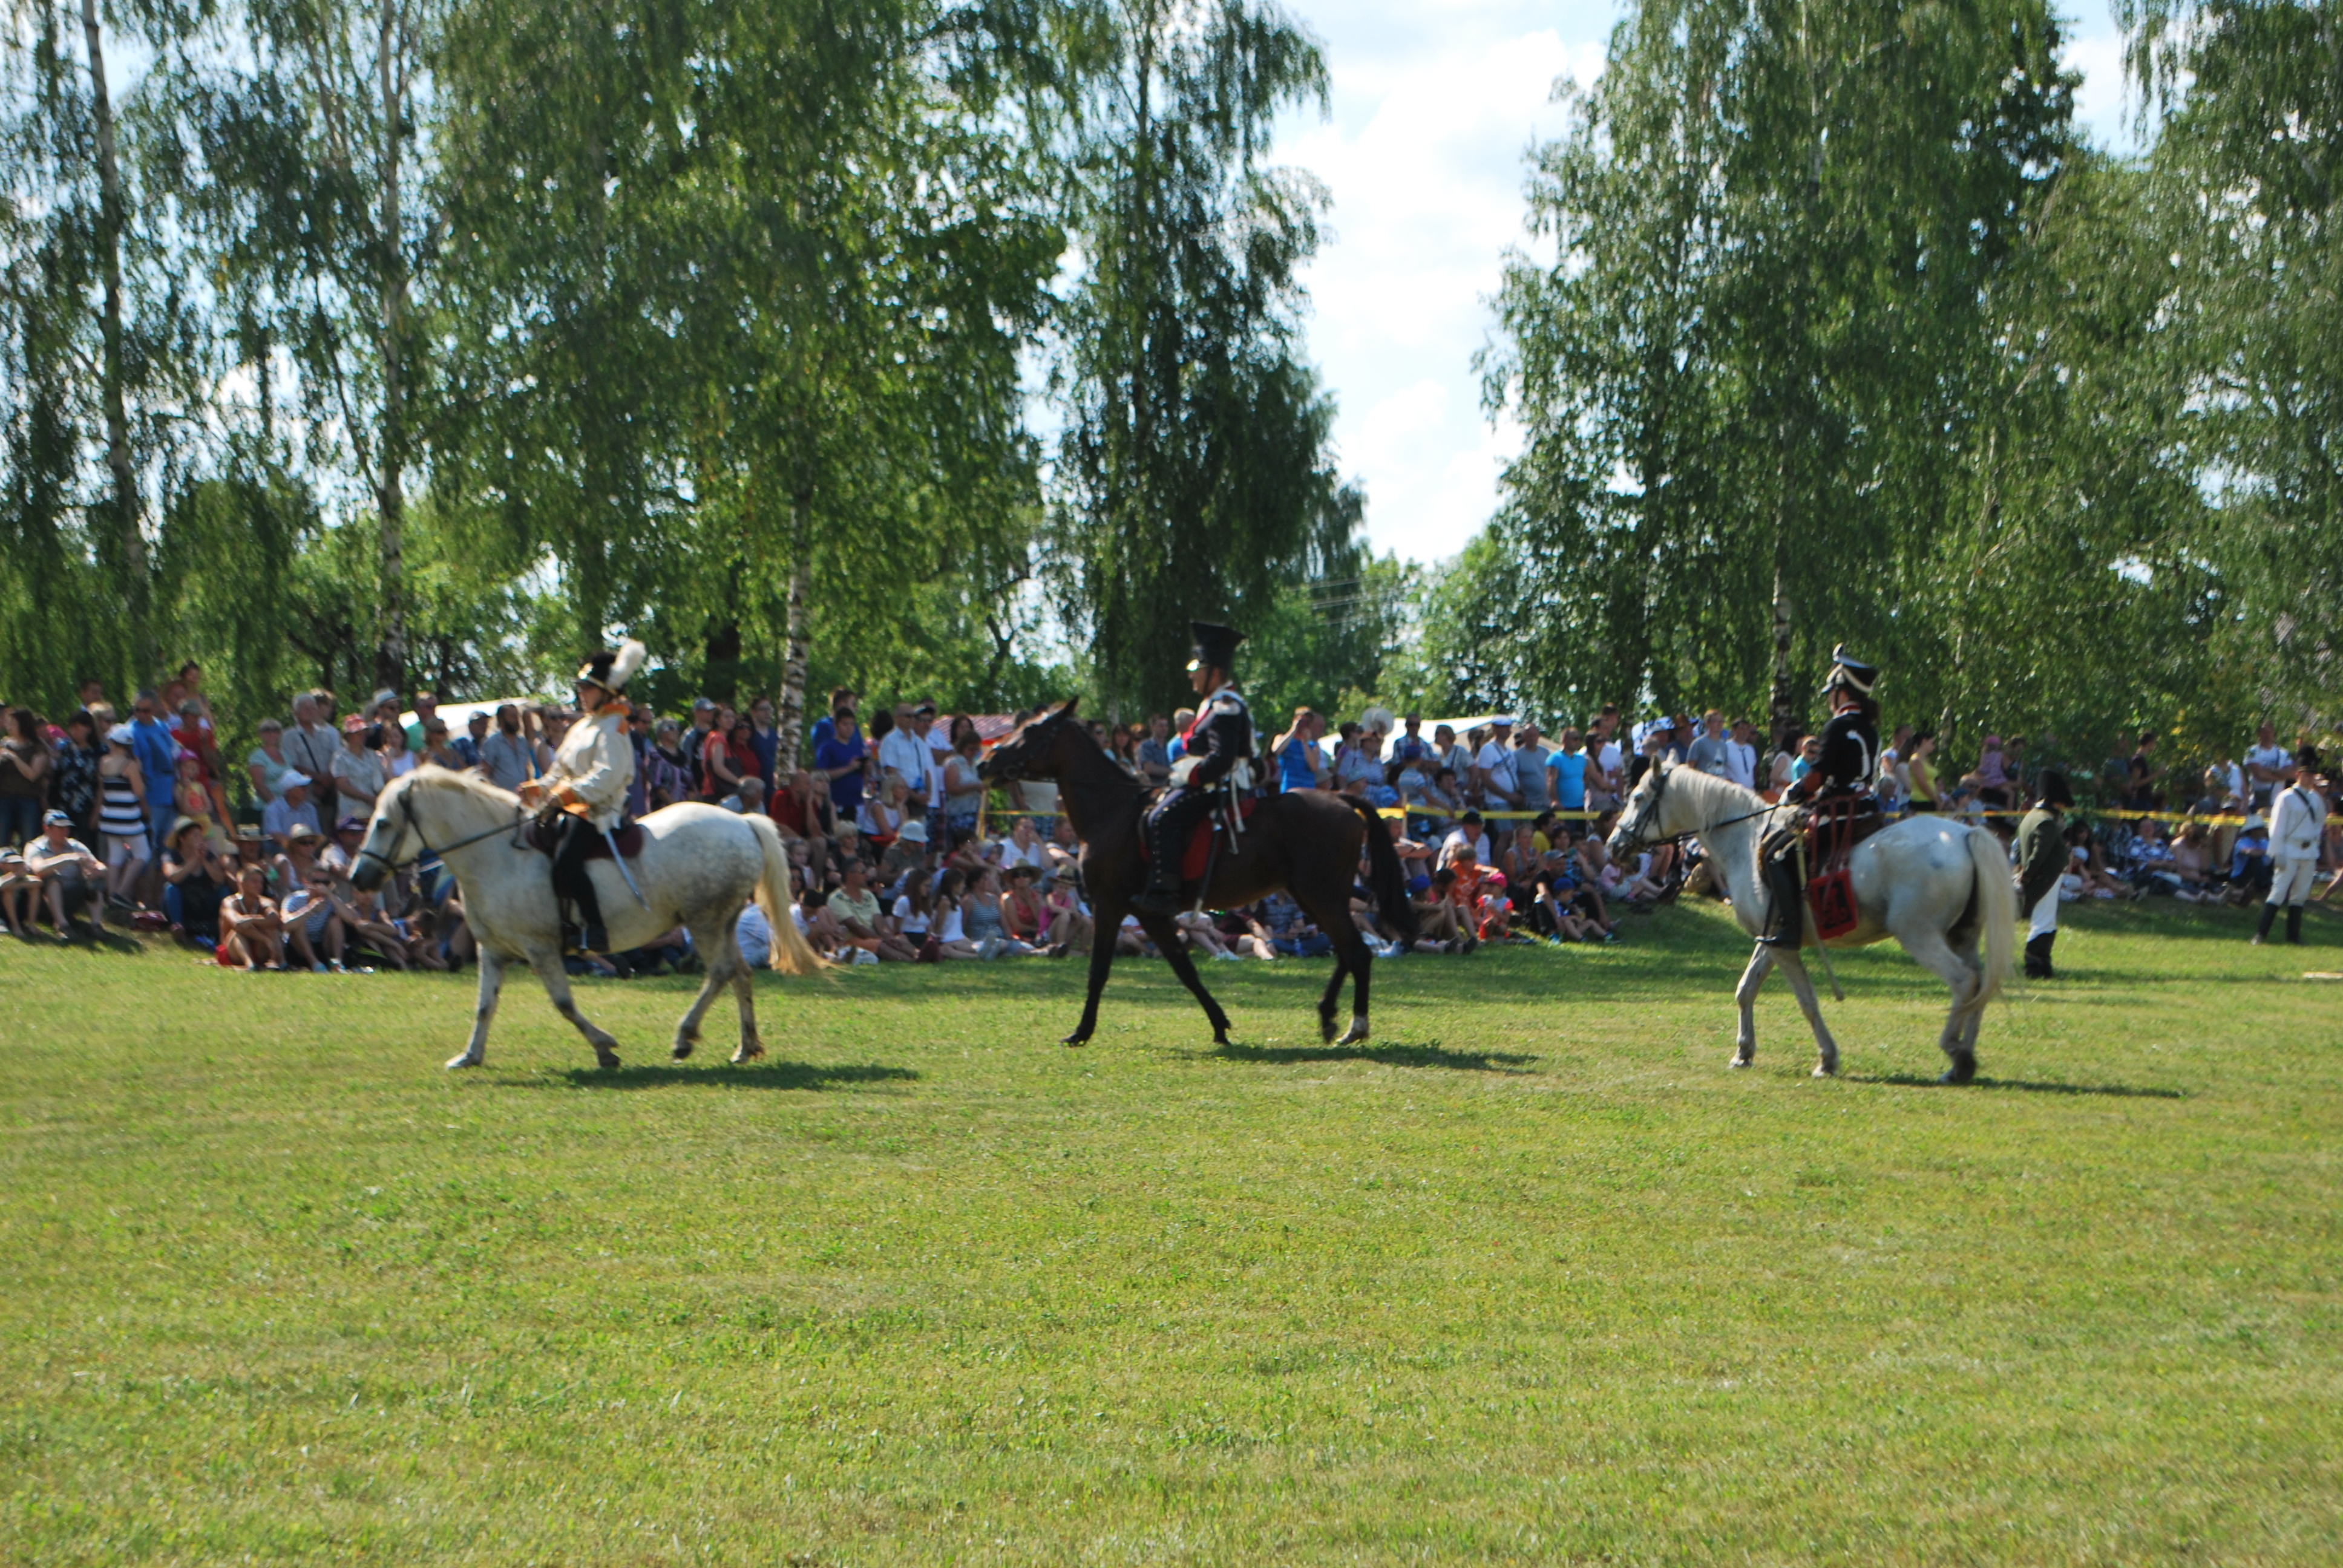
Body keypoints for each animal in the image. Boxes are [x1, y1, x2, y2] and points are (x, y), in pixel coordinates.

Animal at [349, 766, 819, 1071]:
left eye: (384, 823)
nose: (358, 877)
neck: (497, 855)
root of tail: (742, 822)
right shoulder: (494, 951)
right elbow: (485, 1006)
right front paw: (470, 1056)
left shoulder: (540, 949)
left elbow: (564, 1004)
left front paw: (605, 1048)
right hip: (721, 922)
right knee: (740, 973)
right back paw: (746, 1046)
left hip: (705, 921)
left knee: (721, 973)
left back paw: (685, 1038)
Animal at [978, 701, 1418, 1048]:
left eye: (1030, 730)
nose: (986, 763)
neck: (1112, 811)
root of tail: (1341, 801)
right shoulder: (1151, 914)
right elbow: (1185, 970)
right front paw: (1220, 1026)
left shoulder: (1111, 904)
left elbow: (1099, 970)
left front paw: (1081, 1031)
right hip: (1314, 897)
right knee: (1347, 950)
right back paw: (1329, 1016)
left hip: (1321, 896)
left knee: (1356, 952)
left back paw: (1354, 1026)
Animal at [1607, 762, 2014, 1082]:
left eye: (1638, 797)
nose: (1614, 846)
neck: (1746, 841)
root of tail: (1967, 833)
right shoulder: (1773, 940)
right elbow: (1745, 990)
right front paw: (1743, 1052)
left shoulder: (1782, 946)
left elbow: (1806, 1001)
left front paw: (1827, 1059)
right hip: (1961, 934)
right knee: (1980, 984)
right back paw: (1964, 1060)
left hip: (1920, 935)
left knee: (1963, 980)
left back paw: (1955, 1053)